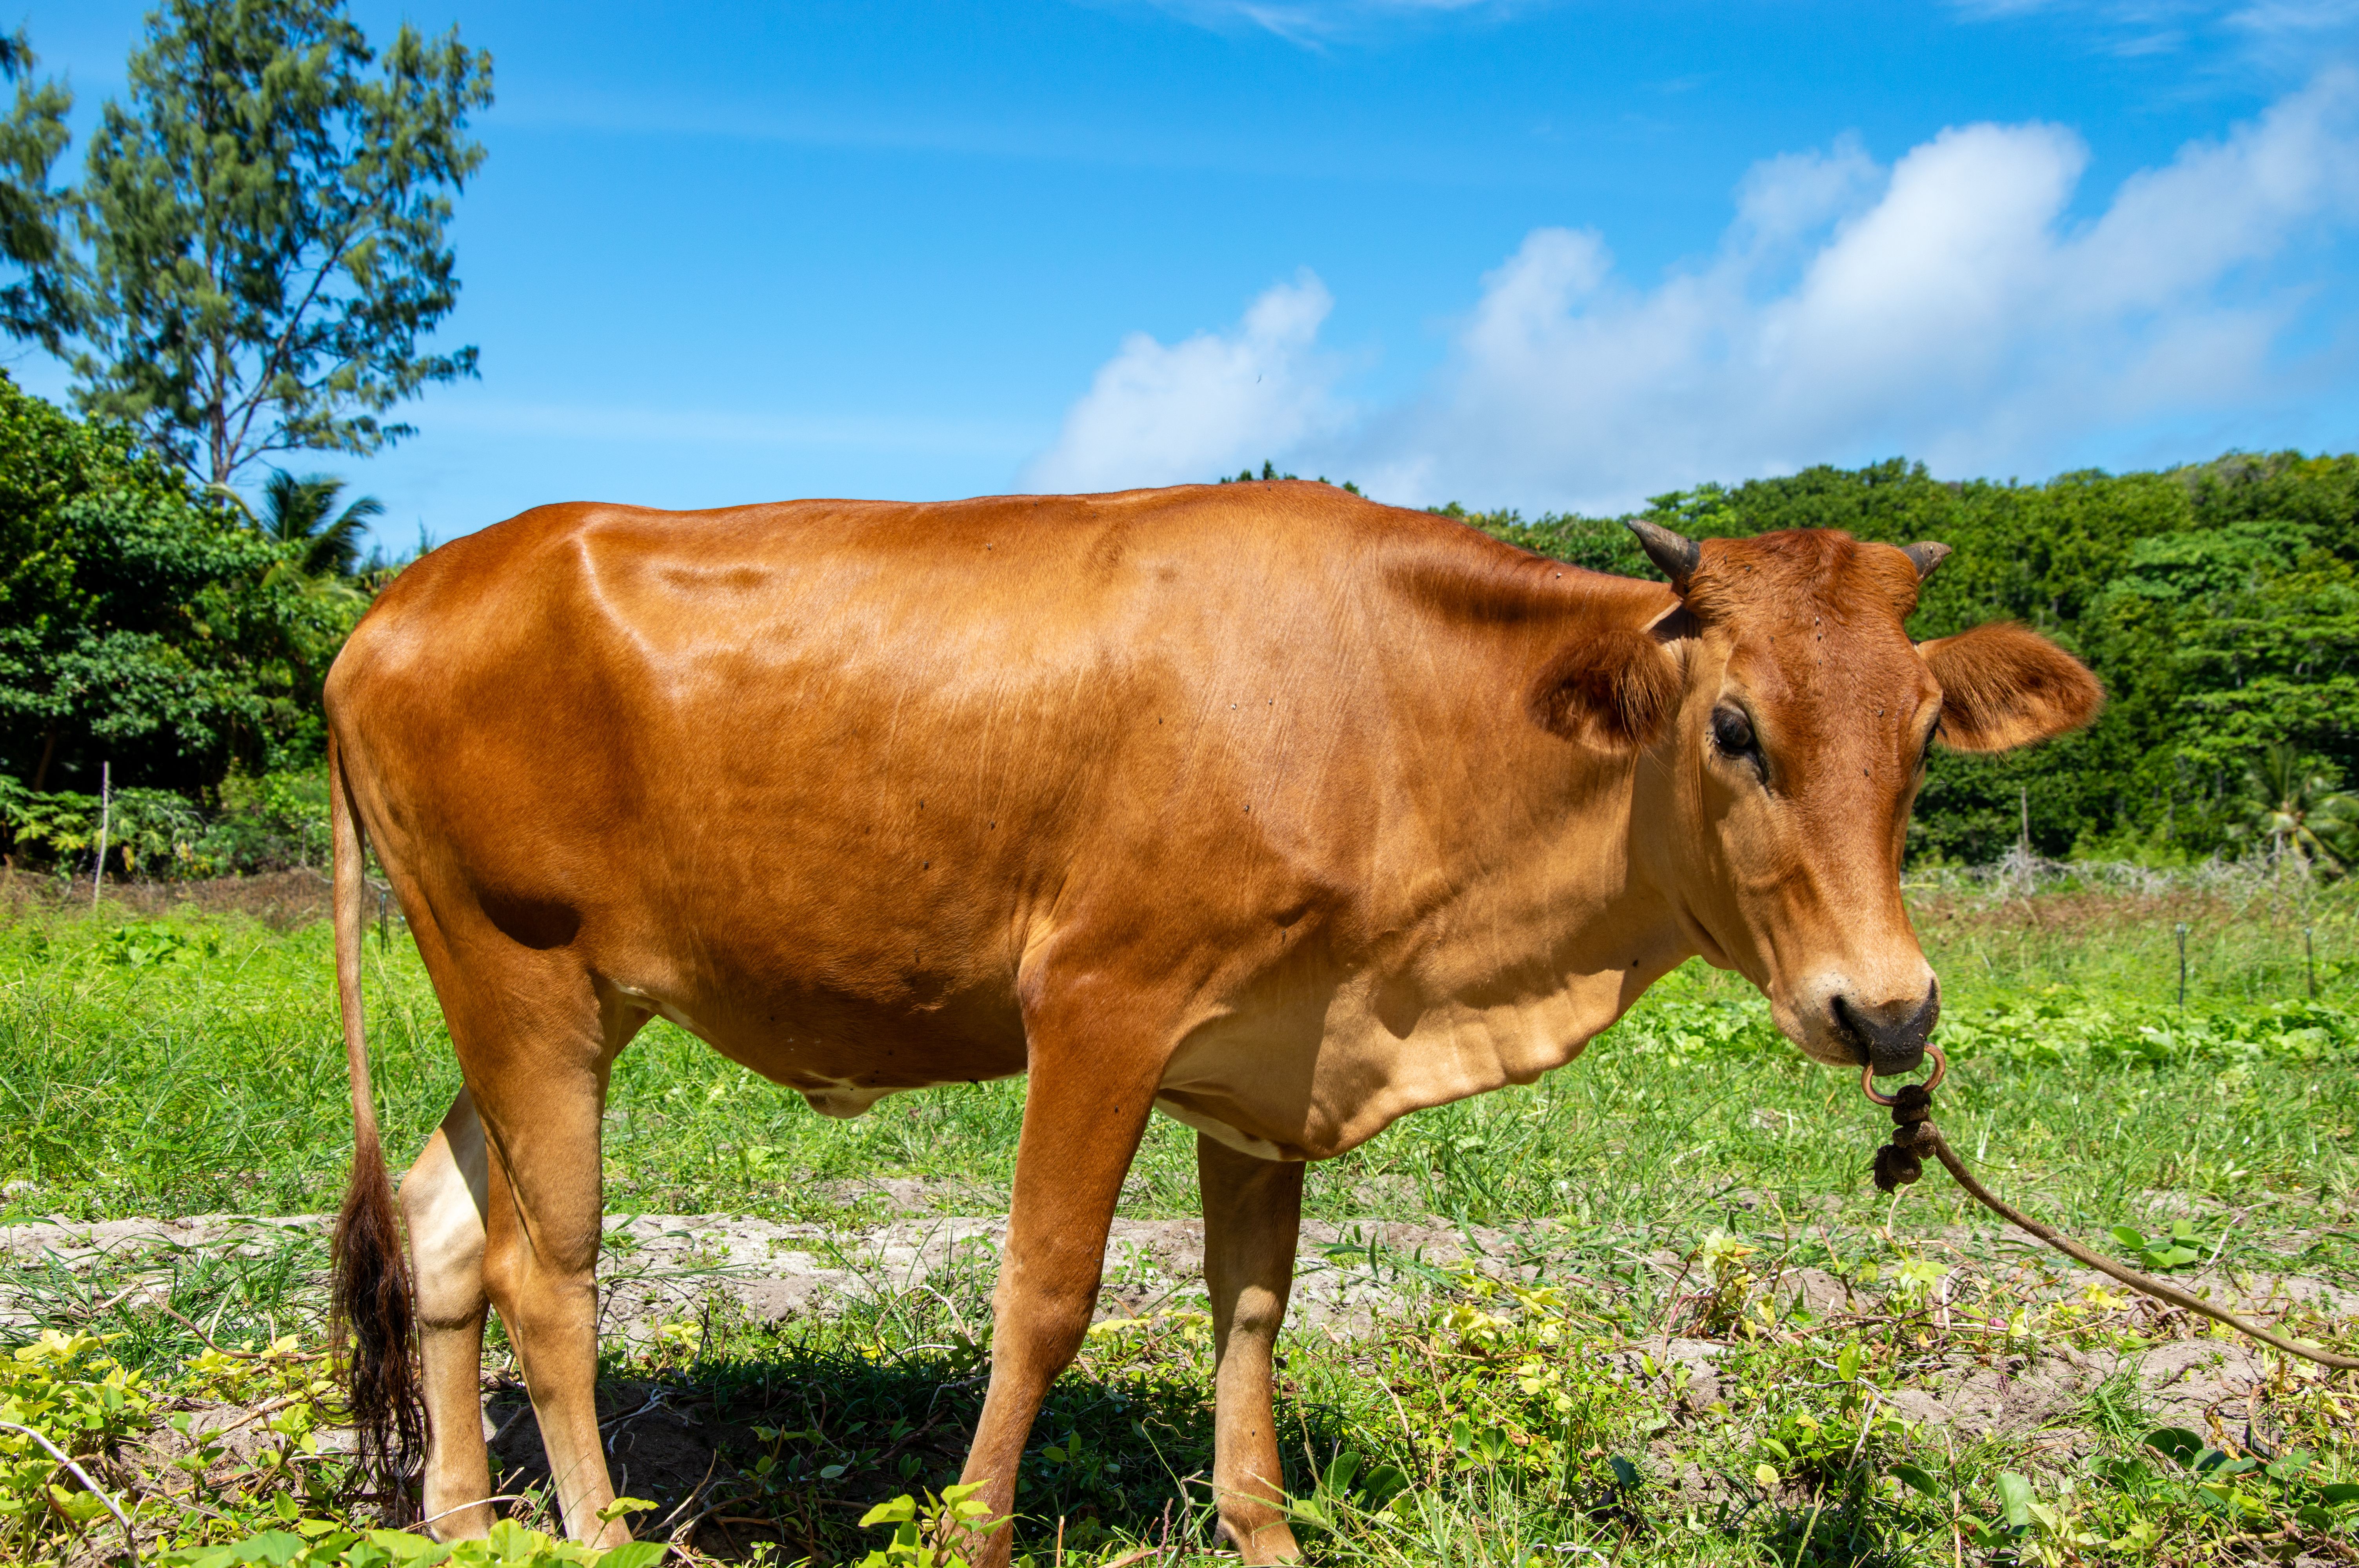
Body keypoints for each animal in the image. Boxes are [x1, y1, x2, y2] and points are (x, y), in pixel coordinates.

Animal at [324, 482, 2100, 1565]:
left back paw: (463, 1523)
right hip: (524, 971)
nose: (1885, 1006)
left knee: (445, 1228)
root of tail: (399, 601)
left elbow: (1252, 1308)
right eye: (1733, 726)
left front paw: (1264, 1532)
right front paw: (972, 1531)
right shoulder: (1100, 999)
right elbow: (1044, 1295)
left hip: (560, 993)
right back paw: (601, 1532)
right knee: (552, 1270)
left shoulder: (1272, 1050)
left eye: (1923, 734)